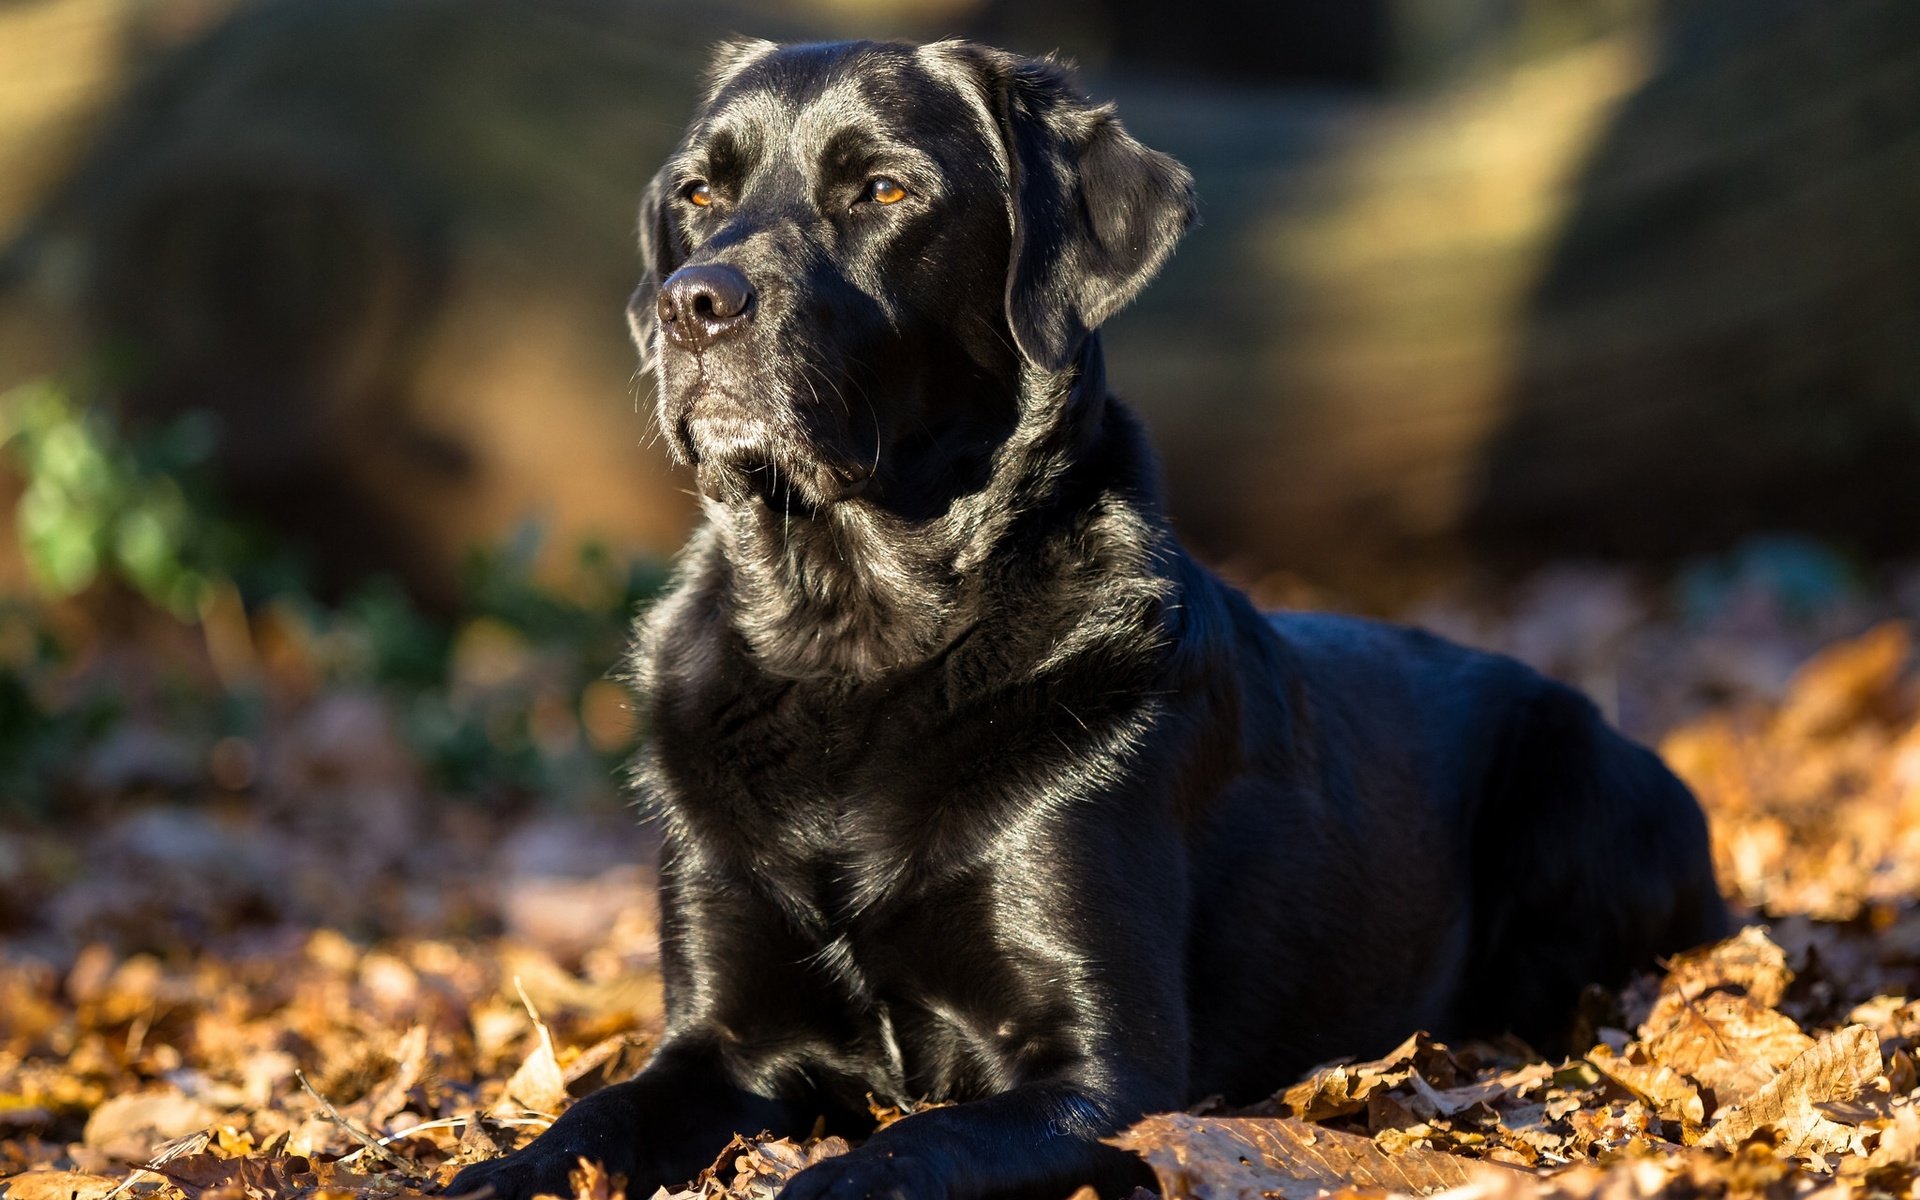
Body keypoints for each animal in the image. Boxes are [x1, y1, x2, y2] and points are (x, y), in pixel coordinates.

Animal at [449, 37, 1728, 1198]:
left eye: (884, 191)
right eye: (698, 195)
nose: (693, 304)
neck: (852, 635)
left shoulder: (1102, 1073)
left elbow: (895, 1155)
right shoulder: (719, 1040)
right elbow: (592, 1122)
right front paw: (498, 1171)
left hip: (1577, 792)